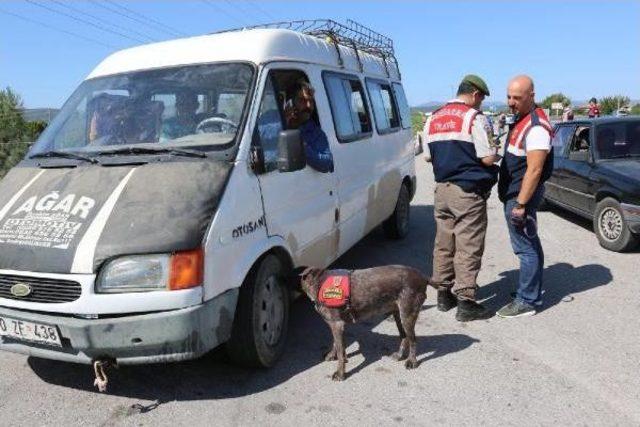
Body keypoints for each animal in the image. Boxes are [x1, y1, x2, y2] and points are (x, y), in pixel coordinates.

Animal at [300, 264, 436, 382]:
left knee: (413, 339)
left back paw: (412, 361)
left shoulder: (337, 324)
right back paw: (399, 355)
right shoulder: (336, 324)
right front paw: (333, 355)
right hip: (398, 314)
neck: (320, 282)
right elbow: (337, 344)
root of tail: (423, 276)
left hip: (407, 313)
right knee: (404, 336)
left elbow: (340, 350)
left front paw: (340, 373)